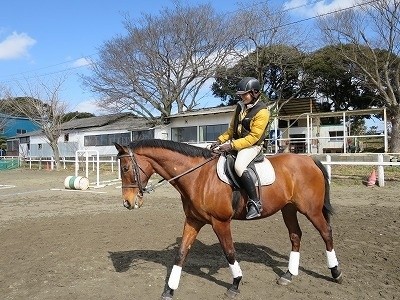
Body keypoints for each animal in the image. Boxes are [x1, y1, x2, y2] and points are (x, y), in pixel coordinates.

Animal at [114, 139, 342, 298]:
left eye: (125, 168)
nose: (128, 202)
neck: (198, 177)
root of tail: (308, 159)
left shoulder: (220, 222)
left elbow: (229, 252)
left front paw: (235, 283)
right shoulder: (193, 221)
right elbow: (181, 254)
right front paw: (169, 290)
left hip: (311, 210)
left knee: (326, 233)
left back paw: (336, 273)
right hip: (288, 209)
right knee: (296, 236)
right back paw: (288, 275)